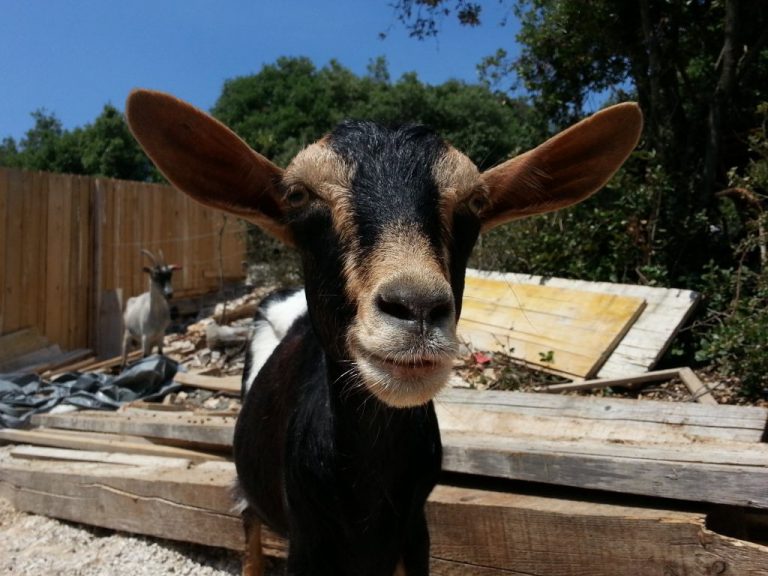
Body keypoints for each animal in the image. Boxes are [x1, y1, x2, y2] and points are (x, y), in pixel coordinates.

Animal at [125, 89, 642, 576]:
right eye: (298, 195)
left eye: (475, 201)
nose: (417, 307)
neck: (364, 502)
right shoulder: (307, 542)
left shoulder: (414, 533)